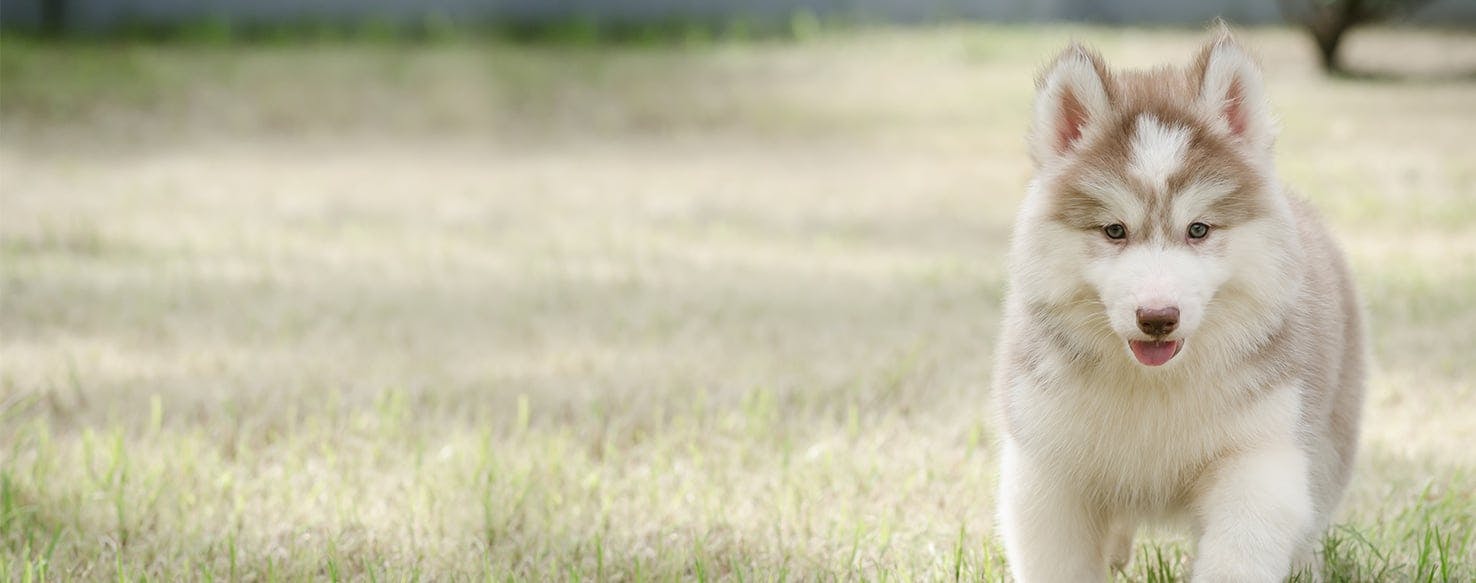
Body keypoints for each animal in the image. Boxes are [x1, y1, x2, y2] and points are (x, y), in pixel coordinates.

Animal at [997, 28, 1363, 583]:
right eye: (1114, 230)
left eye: (1198, 229)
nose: (1157, 318)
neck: (1155, 387)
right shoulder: (1047, 468)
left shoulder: (1260, 457)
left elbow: (1239, 553)